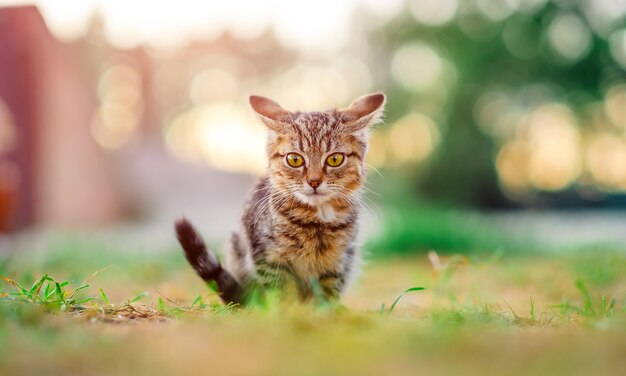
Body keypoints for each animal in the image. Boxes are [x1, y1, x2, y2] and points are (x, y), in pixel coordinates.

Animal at [173, 92, 382, 306]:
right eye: (295, 159)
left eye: (335, 159)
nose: (314, 181)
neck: (316, 223)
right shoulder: (267, 257)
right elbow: (282, 292)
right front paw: (287, 311)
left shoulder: (338, 262)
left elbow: (326, 295)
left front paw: (322, 312)